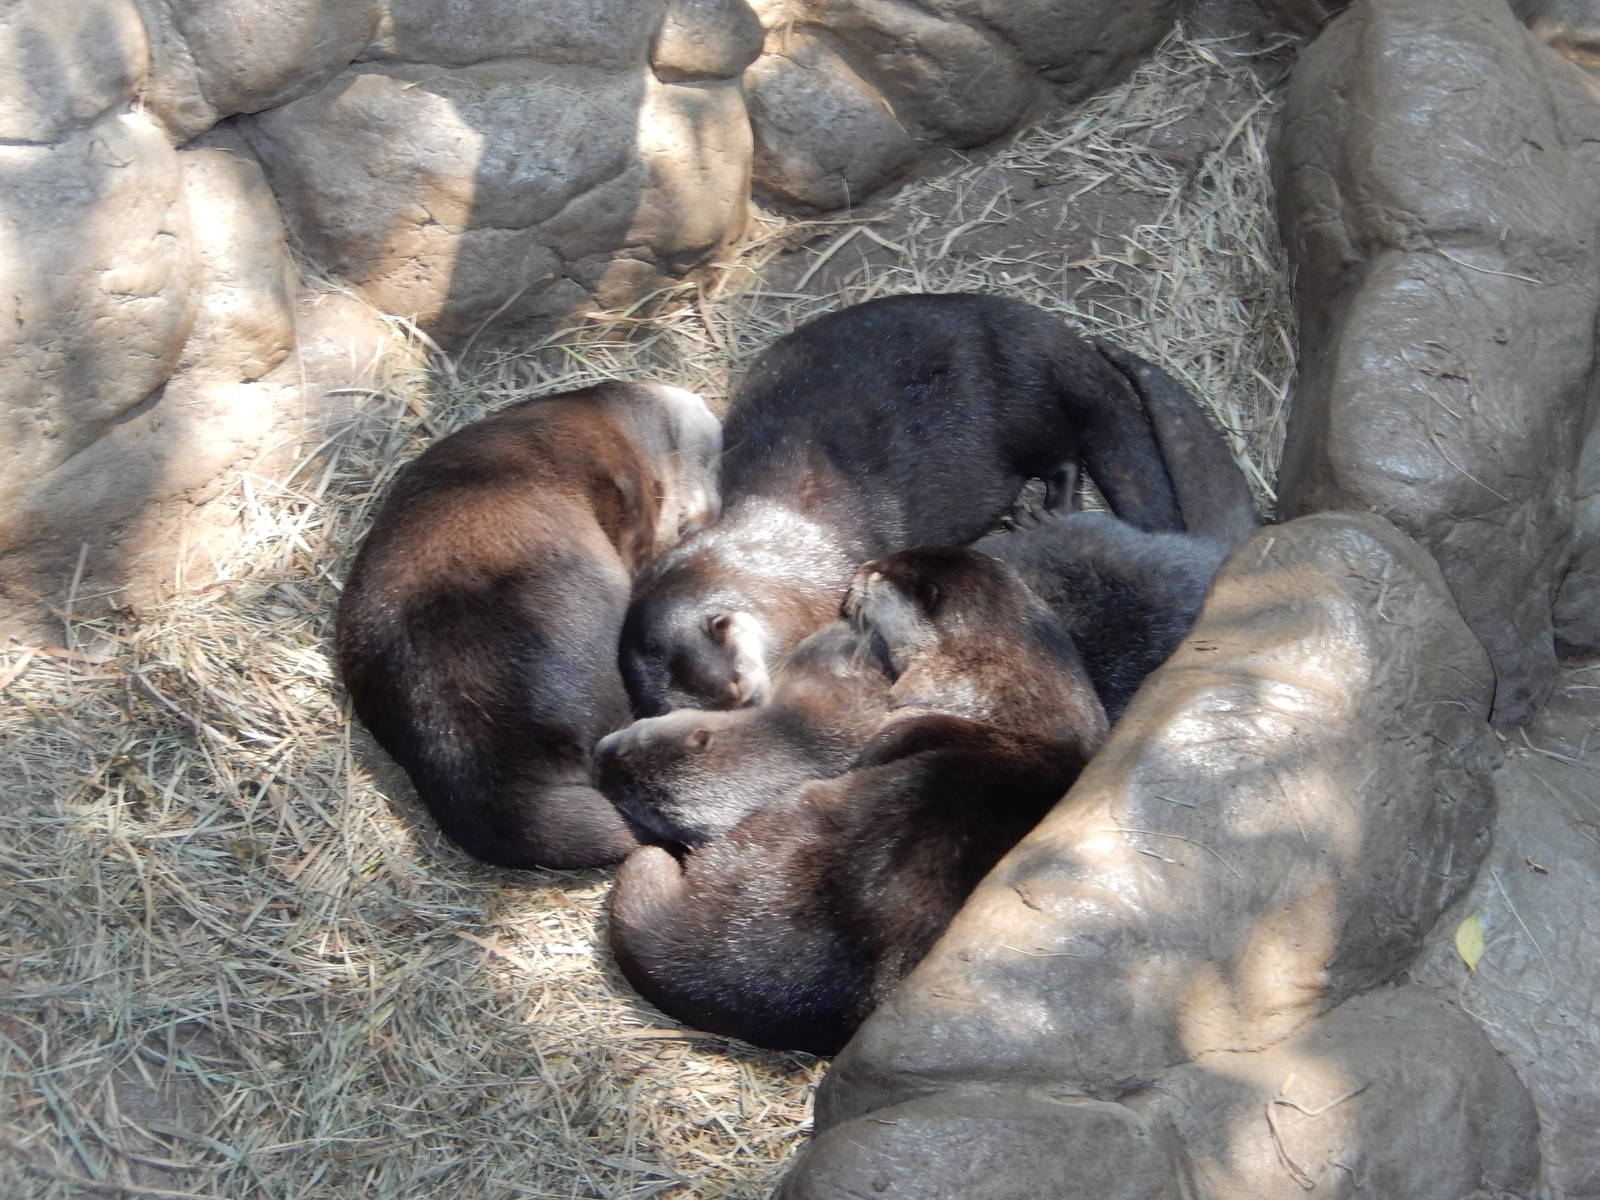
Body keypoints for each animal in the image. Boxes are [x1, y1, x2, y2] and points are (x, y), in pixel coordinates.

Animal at [618, 293, 1187, 716]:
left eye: (734, 684)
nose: (753, 702)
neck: (778, 559)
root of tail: (1030, 324)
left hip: (1025, 408)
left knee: (1064, 452)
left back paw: (1047, 510)